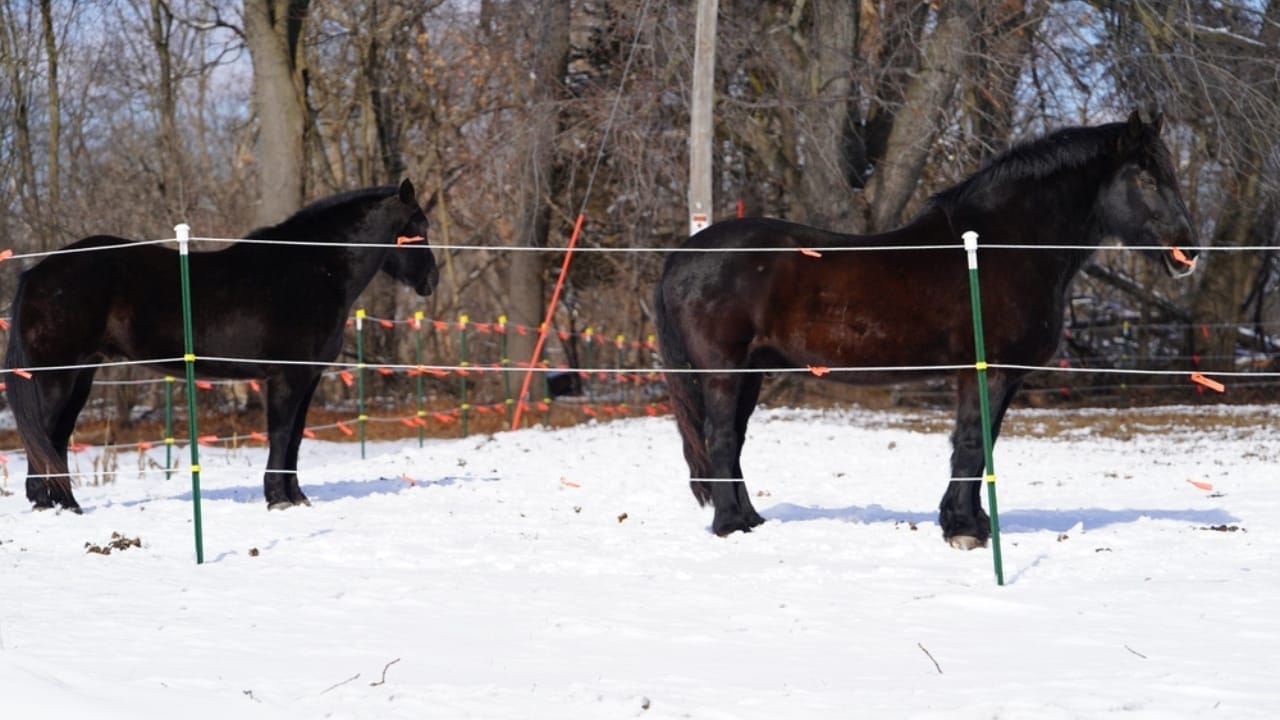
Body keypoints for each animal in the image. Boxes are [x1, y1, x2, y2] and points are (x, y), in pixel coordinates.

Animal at [5, 179, 439, 513]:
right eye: (417, 228)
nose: (431, 281)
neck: (313, 270)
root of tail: (38, 271)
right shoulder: (286, 377)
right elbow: (281, 433)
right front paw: (278, 499)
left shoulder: (309, 378)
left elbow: (297, 437)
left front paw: (296, 496)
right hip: (56, 377)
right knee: (43, 433)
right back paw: (50, 502)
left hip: (81, 375)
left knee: (56, 436)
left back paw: (65, 503)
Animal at [654, 111, 1198, 548]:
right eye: (1147, 179)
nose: (1188, 252)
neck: (1003, 248)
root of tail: (684, 254)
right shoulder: (987, 371)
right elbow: (972, 444)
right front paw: (964, 530)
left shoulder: (1002, 376)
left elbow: (983, 446)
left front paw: (971, 522)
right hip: (723, 372)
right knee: (720, 438)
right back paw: (731, 526)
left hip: (751, 373)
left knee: (734, 442)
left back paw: (750, 519)